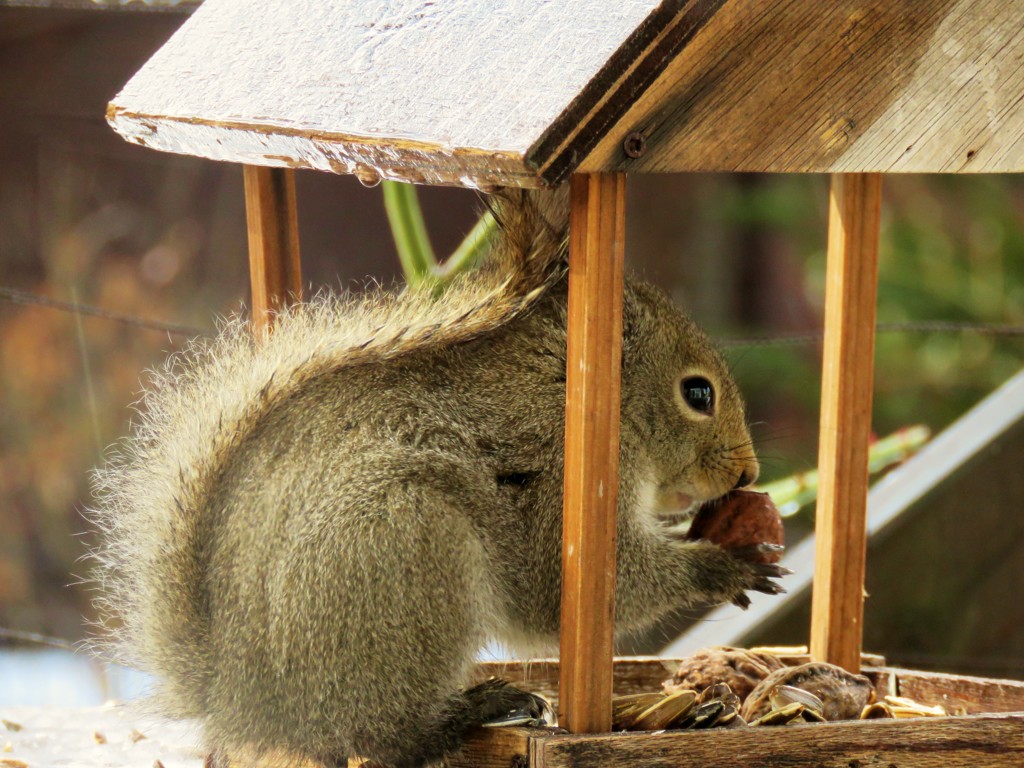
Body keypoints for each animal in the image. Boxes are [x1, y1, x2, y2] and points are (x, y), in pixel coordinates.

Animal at [92, 191, 786, 768]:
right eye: (697, 393)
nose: (749, 471)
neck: (578, 396)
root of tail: (236, 697)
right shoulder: (553, 480)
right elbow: (563, 590)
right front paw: (724, 565)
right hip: (409, 547)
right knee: (385, 739)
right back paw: (473, 710)